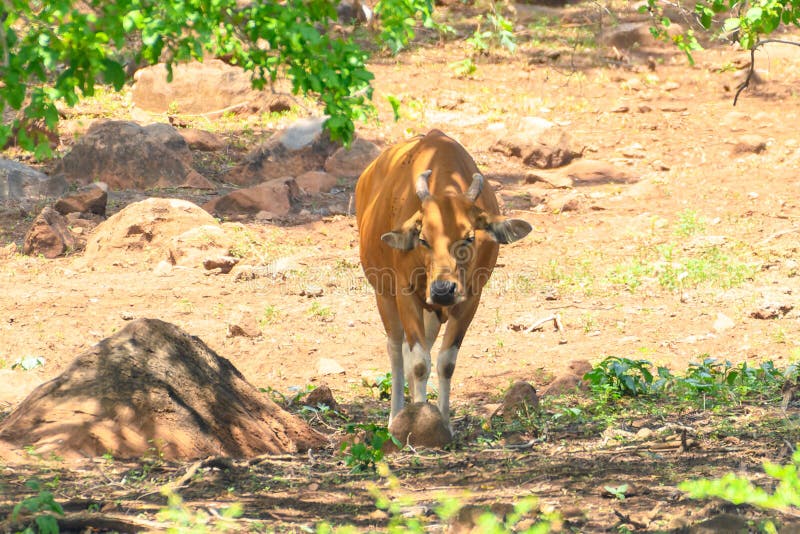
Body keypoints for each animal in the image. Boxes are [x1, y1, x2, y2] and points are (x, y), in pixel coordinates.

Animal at [356, 130, 532, 432]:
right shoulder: (405, 293)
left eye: (469, 237)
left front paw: (444, 423)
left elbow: (445, 362)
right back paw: (396, 416)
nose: (442, 290)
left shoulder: (470, 298)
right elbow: (418, 363)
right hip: (383, 293)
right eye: (423, 238)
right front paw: (417, 425)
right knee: (396, 349)